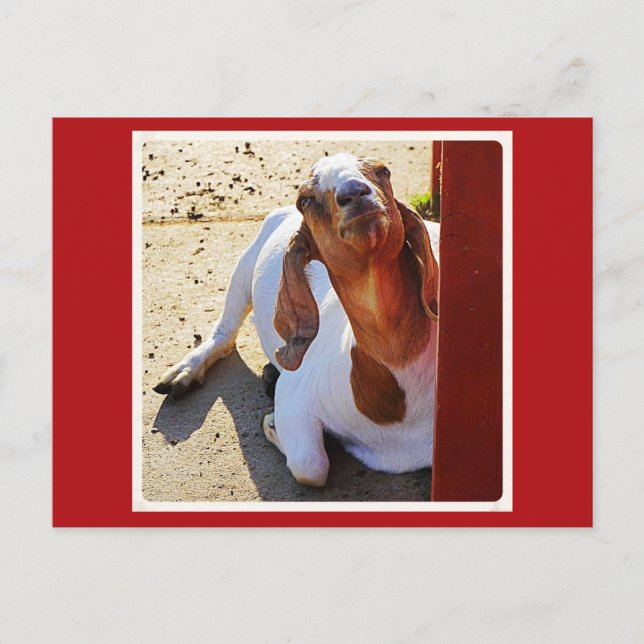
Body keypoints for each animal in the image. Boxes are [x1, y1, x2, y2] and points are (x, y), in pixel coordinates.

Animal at [154, 153, 440, 487]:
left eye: (383, 171)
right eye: (305, 199)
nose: (354, 193)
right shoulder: (297, 391)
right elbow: (310, 466)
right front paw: (272, 423)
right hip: (248, 260)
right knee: (226, 329)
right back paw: (184, 373)